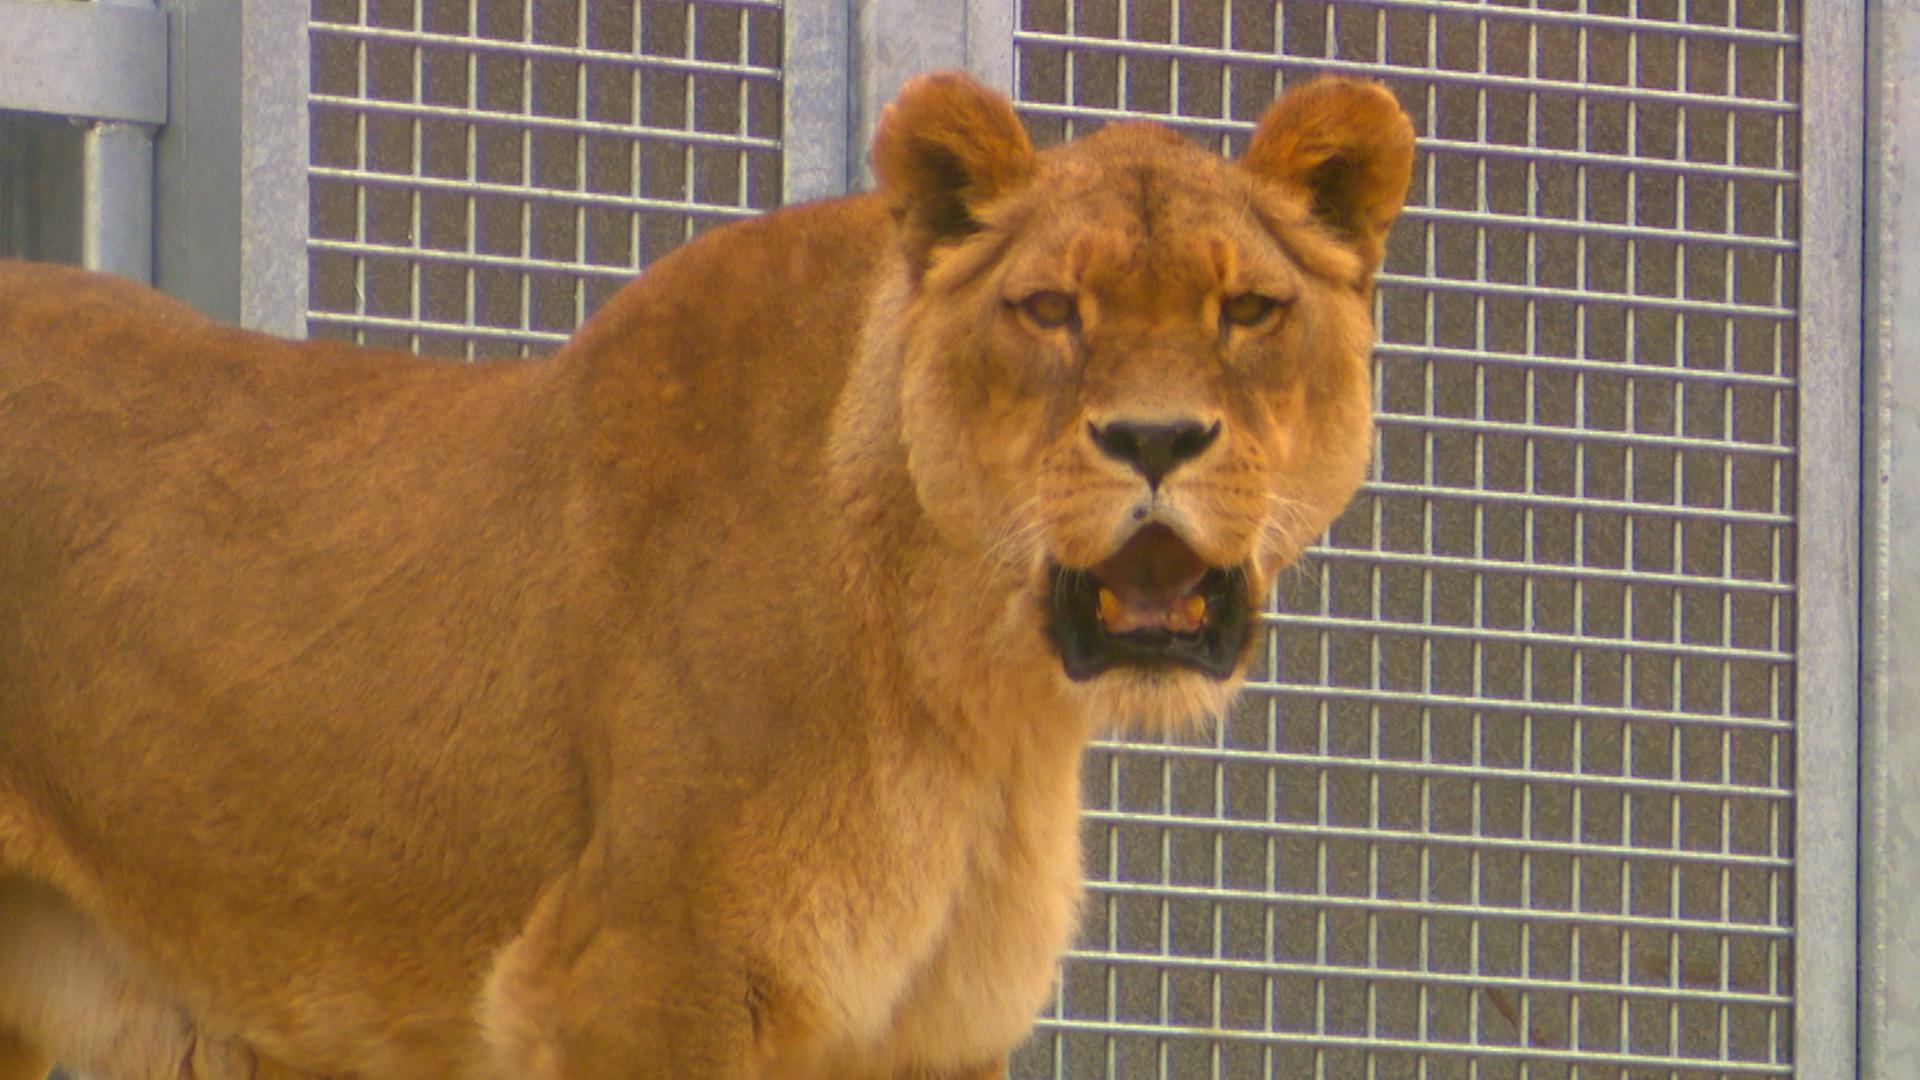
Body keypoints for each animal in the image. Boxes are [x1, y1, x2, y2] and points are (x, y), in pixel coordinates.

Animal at [0, 72, 1412, 1078]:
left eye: (1249, 312)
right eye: (1052, 310)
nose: (1156, 440)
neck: (978, 694)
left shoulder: (929, 1032)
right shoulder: (636, 975)